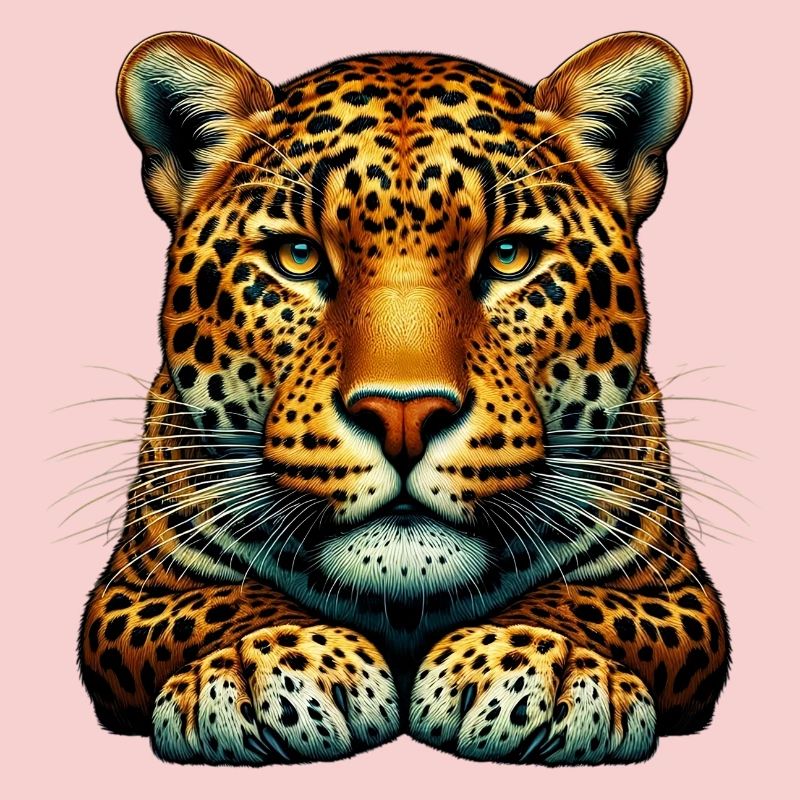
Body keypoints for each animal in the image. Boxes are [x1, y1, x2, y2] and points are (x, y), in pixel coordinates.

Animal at [79, 30, 730, 765]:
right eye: (298, 255)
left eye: (509, 256)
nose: (403, 416)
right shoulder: (132, 591)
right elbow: (221, 603)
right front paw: (274, 666)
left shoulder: (675, 590)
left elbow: (586, 602)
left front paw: (535, 667)